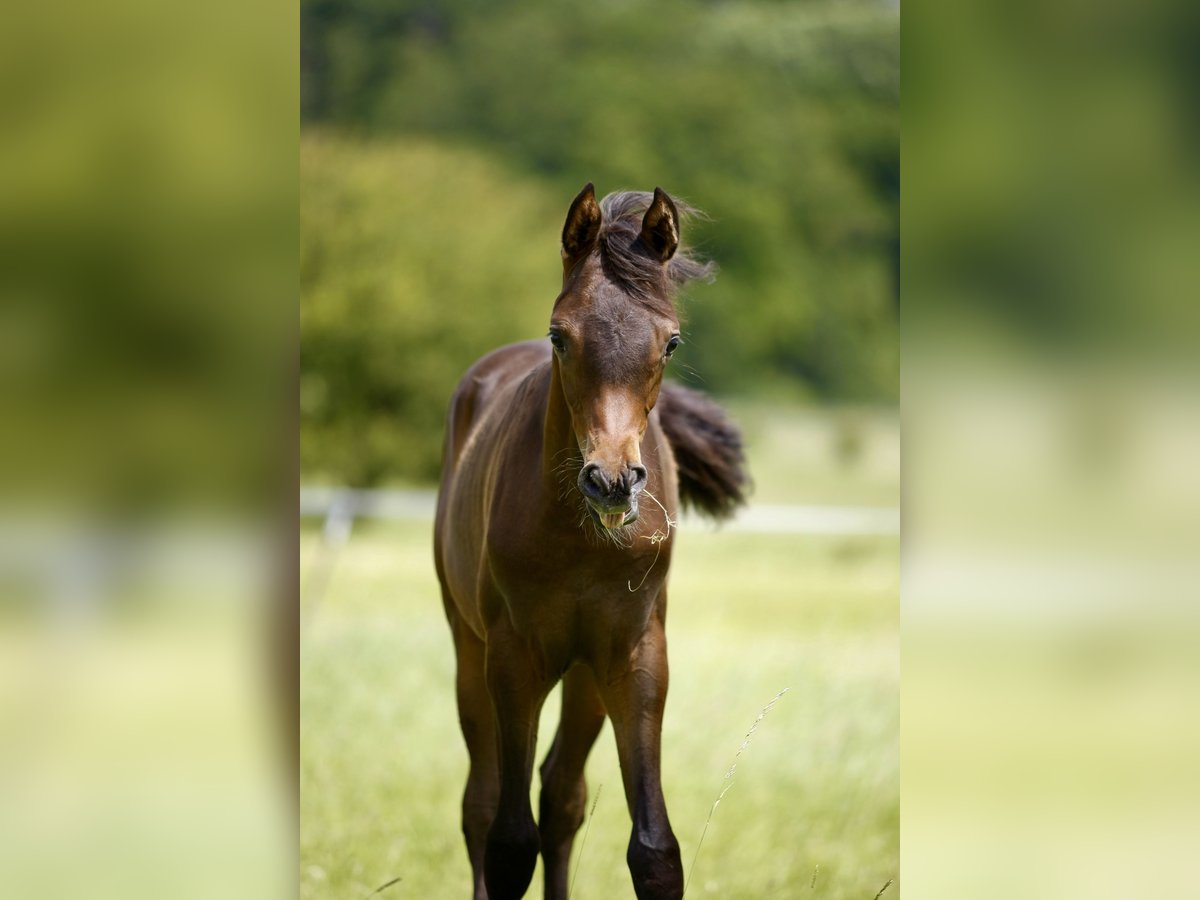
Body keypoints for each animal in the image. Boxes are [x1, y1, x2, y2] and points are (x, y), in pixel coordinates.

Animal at [436, 184, 744, 900]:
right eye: (560, 336)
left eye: (670, 342)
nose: (611, 481)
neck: (580, 543)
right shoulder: (512, 658)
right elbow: (508, 842)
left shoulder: (633, 655)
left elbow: (654, 850)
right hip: (470, 645)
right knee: (481, 802)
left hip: (582, 675)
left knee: (562, 795)